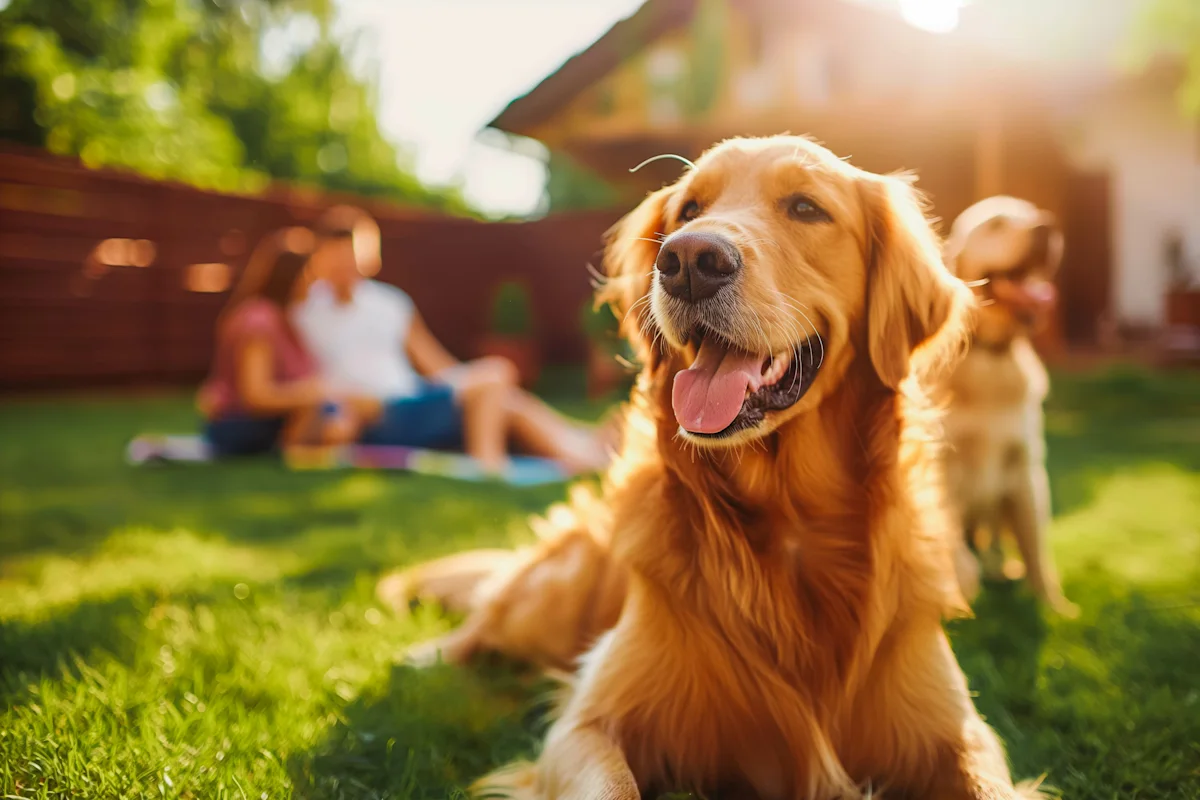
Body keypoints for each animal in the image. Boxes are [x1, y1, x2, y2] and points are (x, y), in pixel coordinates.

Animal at [384, 134, 1041, 796]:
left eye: (806, 208)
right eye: (689, 210)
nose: (688, 261)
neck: (788, 527)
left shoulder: (957, 731)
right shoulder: (587, 723)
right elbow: (611, 781)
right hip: (552, 592)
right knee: (486, 620)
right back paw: (422, 660)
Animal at [940, 196, 1075, 618]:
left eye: (1032, 215)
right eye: (996, 225)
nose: (1047, 228)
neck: (990, 357)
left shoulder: (1025, 469)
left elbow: (1036, 549)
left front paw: (1053, 606)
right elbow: (952, 545)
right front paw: (959, 595)